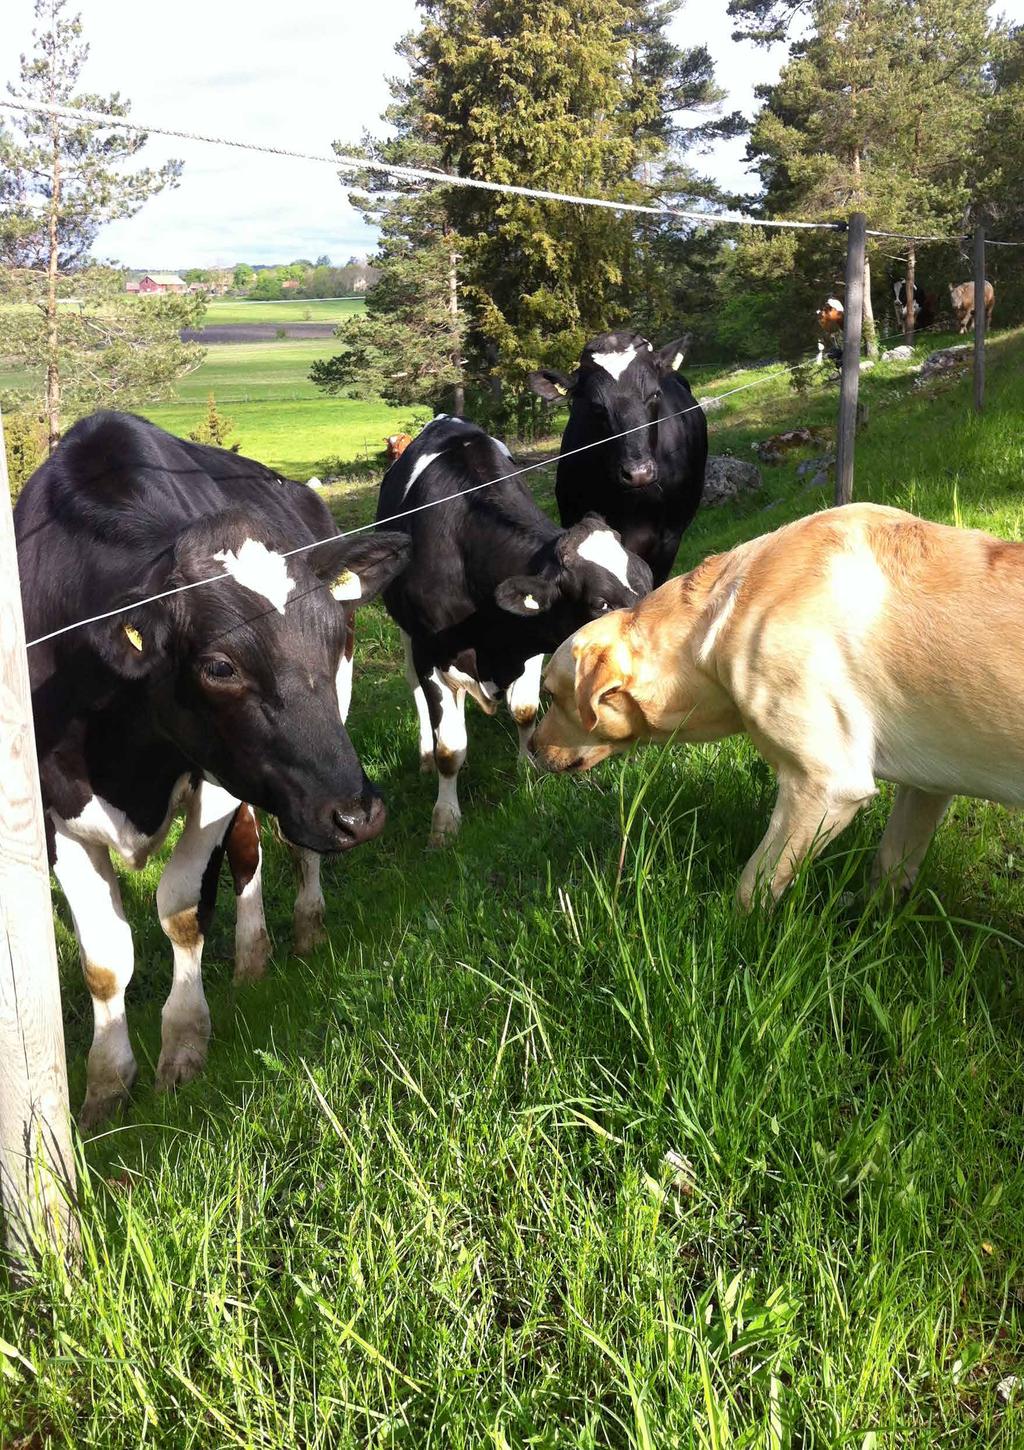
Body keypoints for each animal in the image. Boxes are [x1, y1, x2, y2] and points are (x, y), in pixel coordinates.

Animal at [15, 414, 406, 1125]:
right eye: (219, 667)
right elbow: (104, 961)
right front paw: (106, 1087)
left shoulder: (221, 785)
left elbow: (181, 909)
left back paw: (296, 932)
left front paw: (183, 1045)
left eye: (331, 635)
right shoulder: (55, 812)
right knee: (255, 847)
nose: (360, 814)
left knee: (284, 847)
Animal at [374, 414, 655, 846]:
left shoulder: (531, 641)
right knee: (415, 689)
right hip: (406, 635)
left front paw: (529, 769)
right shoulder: (431, 654)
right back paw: (424, 753)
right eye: (600, 604)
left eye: (649, 578)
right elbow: (449, 749)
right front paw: (444, 822)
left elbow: (524, 711)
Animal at [527, 498, 1021, 904]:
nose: (530, 749)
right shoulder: (928, 785)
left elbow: (752, 890)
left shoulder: (824, 786)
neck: (720, 613)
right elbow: (890, 866)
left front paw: (735, 944)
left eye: (549, 693)